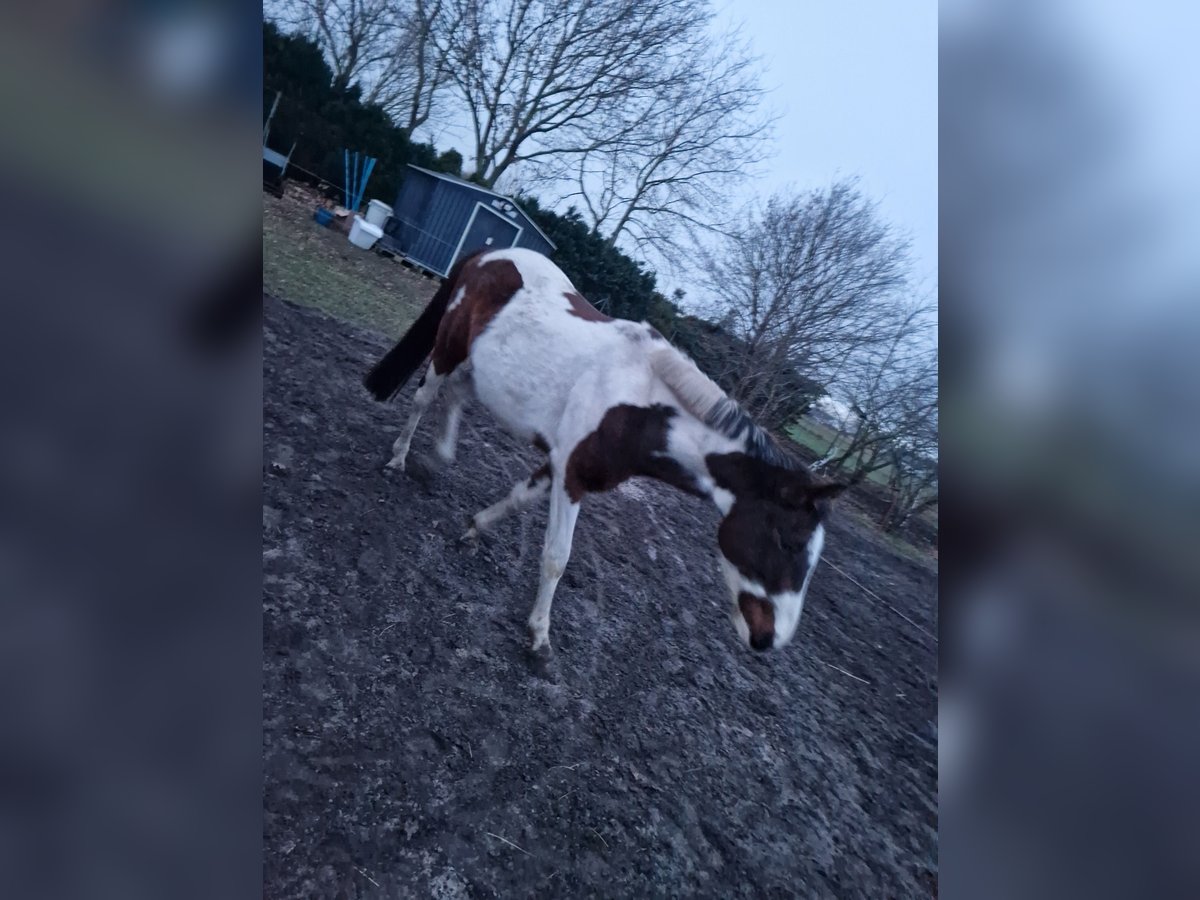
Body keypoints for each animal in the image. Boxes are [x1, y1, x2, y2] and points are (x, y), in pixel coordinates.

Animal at [362, 247, 844, 657]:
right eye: (787, 541)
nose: (769, 640)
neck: (638, 405)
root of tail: (488, 254)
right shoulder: (572, 477)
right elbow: (556, 557)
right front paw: (539, 636)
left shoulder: (561, 466)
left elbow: (517, 499)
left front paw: (475, 527)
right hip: (449, 349)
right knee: (425, 398)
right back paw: (399, 459)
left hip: (478, 367)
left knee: (457, 397)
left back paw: (437, 458)